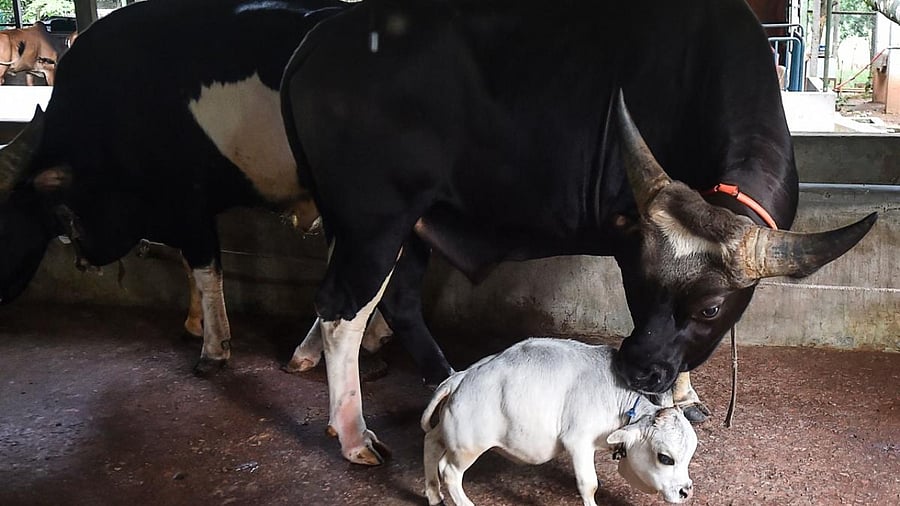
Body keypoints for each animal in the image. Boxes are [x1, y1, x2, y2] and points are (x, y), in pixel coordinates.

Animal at [281, 0, 877, 465]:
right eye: (636, 285)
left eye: (710, 307)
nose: (637, 370)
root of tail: (320, 36)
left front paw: (686, 393)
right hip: (375, 223)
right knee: (342, 311)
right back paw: (354, 434)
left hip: (414, 225)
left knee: (398, 301)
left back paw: (445, 376)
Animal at [421, 338, 698, 506]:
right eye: (665, 458)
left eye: (689, 456)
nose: (686, 491)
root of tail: (460, 377)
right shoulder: (579, 441)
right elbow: (589, 484)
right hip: (468, 446)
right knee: (450, 471)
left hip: (448, 432)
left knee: (431, 443)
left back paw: (434, 494)